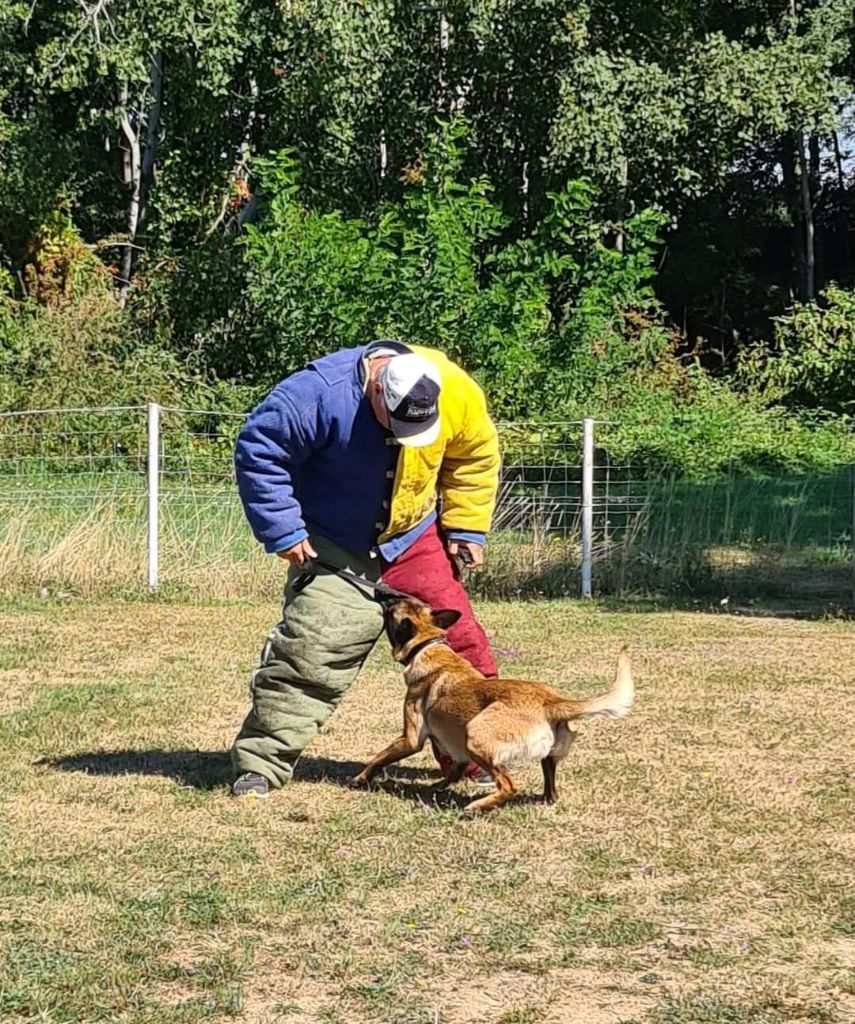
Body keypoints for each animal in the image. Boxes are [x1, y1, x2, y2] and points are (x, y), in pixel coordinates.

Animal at [350, 598, 634, 811]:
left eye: (391, 613)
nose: (386, 598)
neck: (428, 646)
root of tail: (551, 702)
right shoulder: (457, 752)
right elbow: (453, 772)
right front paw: (437, 786)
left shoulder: (410, 739)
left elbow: (378, 757)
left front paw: (360, 778)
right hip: (544, 755)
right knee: (550, 787)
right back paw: (543, 798)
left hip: (476, 734)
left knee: (509, 786)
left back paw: (475, 806)